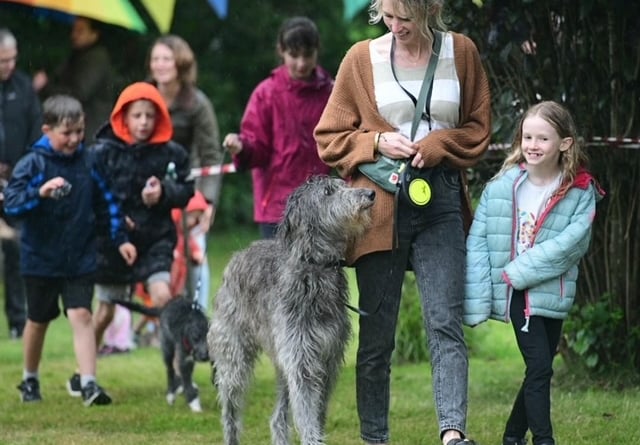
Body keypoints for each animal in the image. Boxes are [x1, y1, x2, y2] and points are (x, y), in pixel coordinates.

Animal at [208, 176, 376, 444]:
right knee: (230, 410)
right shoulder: (302, 361)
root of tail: (237, 256)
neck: (315, 269)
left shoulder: (327, 359)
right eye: (328, 192)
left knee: (277, 418)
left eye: (343, 184)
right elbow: (307, 415)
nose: (370, 194)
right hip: (233, 357)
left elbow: (317, 412)